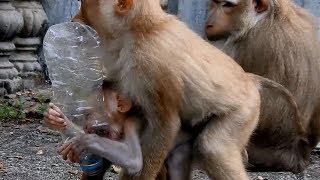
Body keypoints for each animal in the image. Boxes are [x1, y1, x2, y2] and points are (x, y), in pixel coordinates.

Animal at [43, 82, 191, 180]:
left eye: (88, 115)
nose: (86, 126)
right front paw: (58, 119)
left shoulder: (132, 123)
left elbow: (134, 160)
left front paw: (81, 141)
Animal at [205, 0, 320, 172]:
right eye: (215, 3)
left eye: (228, 5)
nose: (209, 24)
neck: (264, 18)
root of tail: (300, 154)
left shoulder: (248, 44)